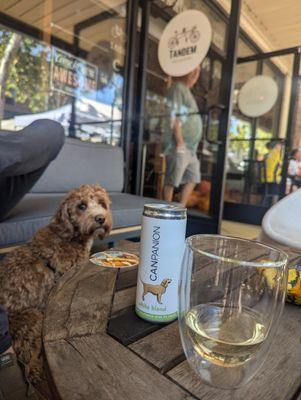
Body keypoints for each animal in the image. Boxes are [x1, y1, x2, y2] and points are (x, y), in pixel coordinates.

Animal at [0, 184, 112, 384]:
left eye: (101, 203)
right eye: (81, 206)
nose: (101, 218)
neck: (70, 235)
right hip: (33, 317)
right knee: (31, 357)